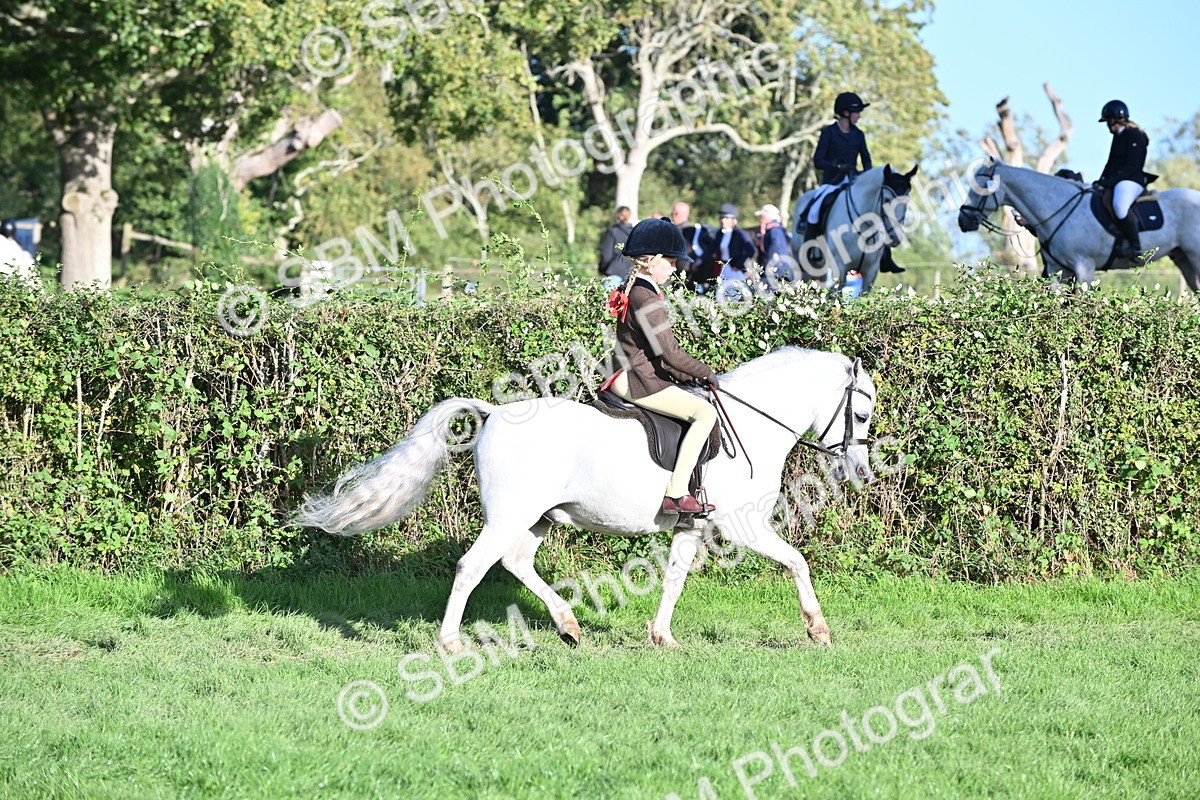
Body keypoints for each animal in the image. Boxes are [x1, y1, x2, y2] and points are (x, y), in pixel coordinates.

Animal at [292, 347, 878, 651]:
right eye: (862, 413)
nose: (860, 472)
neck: (755, 424)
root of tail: (494, 412)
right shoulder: (743, 525)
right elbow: (798, 562)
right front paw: (819, 629)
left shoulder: (693, 526)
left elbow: (674, 579)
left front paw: (662, 637)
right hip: (510, 514)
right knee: (472, 566)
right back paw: (451, 642)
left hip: (536, 518)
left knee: (515, 562)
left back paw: (568, 625)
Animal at [958, 157, 1200, 289]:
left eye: (979, 187)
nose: (962, 220)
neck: (1058, 206)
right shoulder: (1058, 270)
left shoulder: (1084, 268)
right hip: (1183, 259)